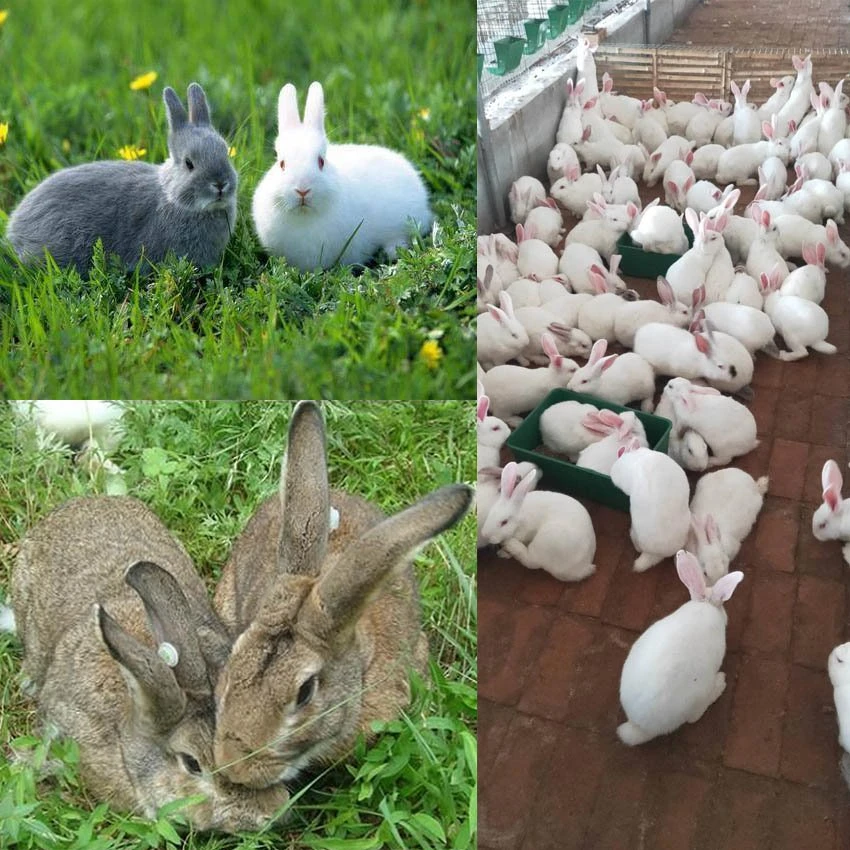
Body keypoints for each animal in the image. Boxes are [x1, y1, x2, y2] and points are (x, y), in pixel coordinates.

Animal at [617, 550, 744, 745]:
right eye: (722, 605)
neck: (705, 605)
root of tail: (640, 727)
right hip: (698, 696)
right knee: (695, 717)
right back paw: (720, 683)